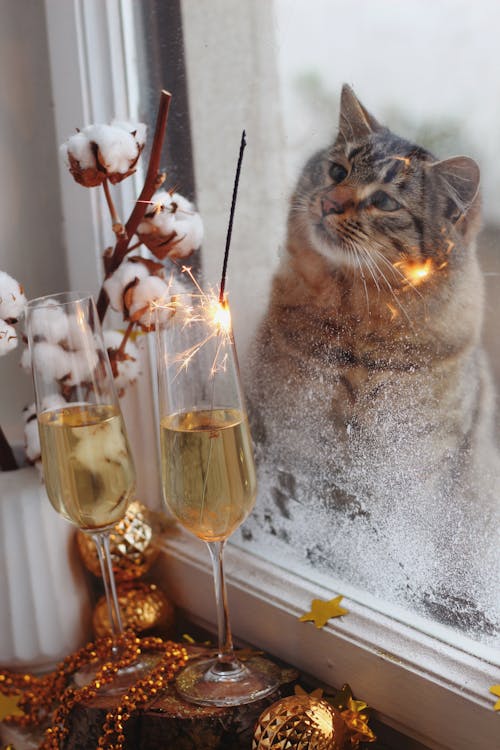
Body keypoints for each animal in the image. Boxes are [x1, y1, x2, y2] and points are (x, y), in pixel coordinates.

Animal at [246, 82, 500, 636]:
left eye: (383, 201)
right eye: (338, 171)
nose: (328, 201)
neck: (356, 331)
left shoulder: (404, 476)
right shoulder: (295, 446)